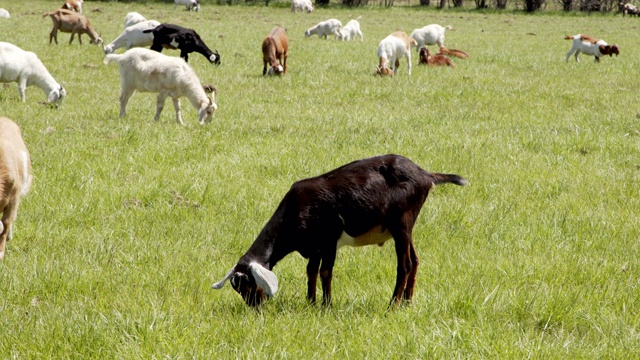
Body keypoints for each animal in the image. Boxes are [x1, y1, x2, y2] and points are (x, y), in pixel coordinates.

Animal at [212, 153, 468, 308]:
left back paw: (393, 305)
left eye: (247, 284)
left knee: (404, 264)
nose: (255, 307)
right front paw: (311, 303)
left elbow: (325, 272)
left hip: (401, 224)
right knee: (415, 260)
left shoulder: (329, 240)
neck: (294, 211)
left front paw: (326, 306)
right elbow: (311, 271)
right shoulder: (314, 246)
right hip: (406, 228)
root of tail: (425, 175)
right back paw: (407, 302)